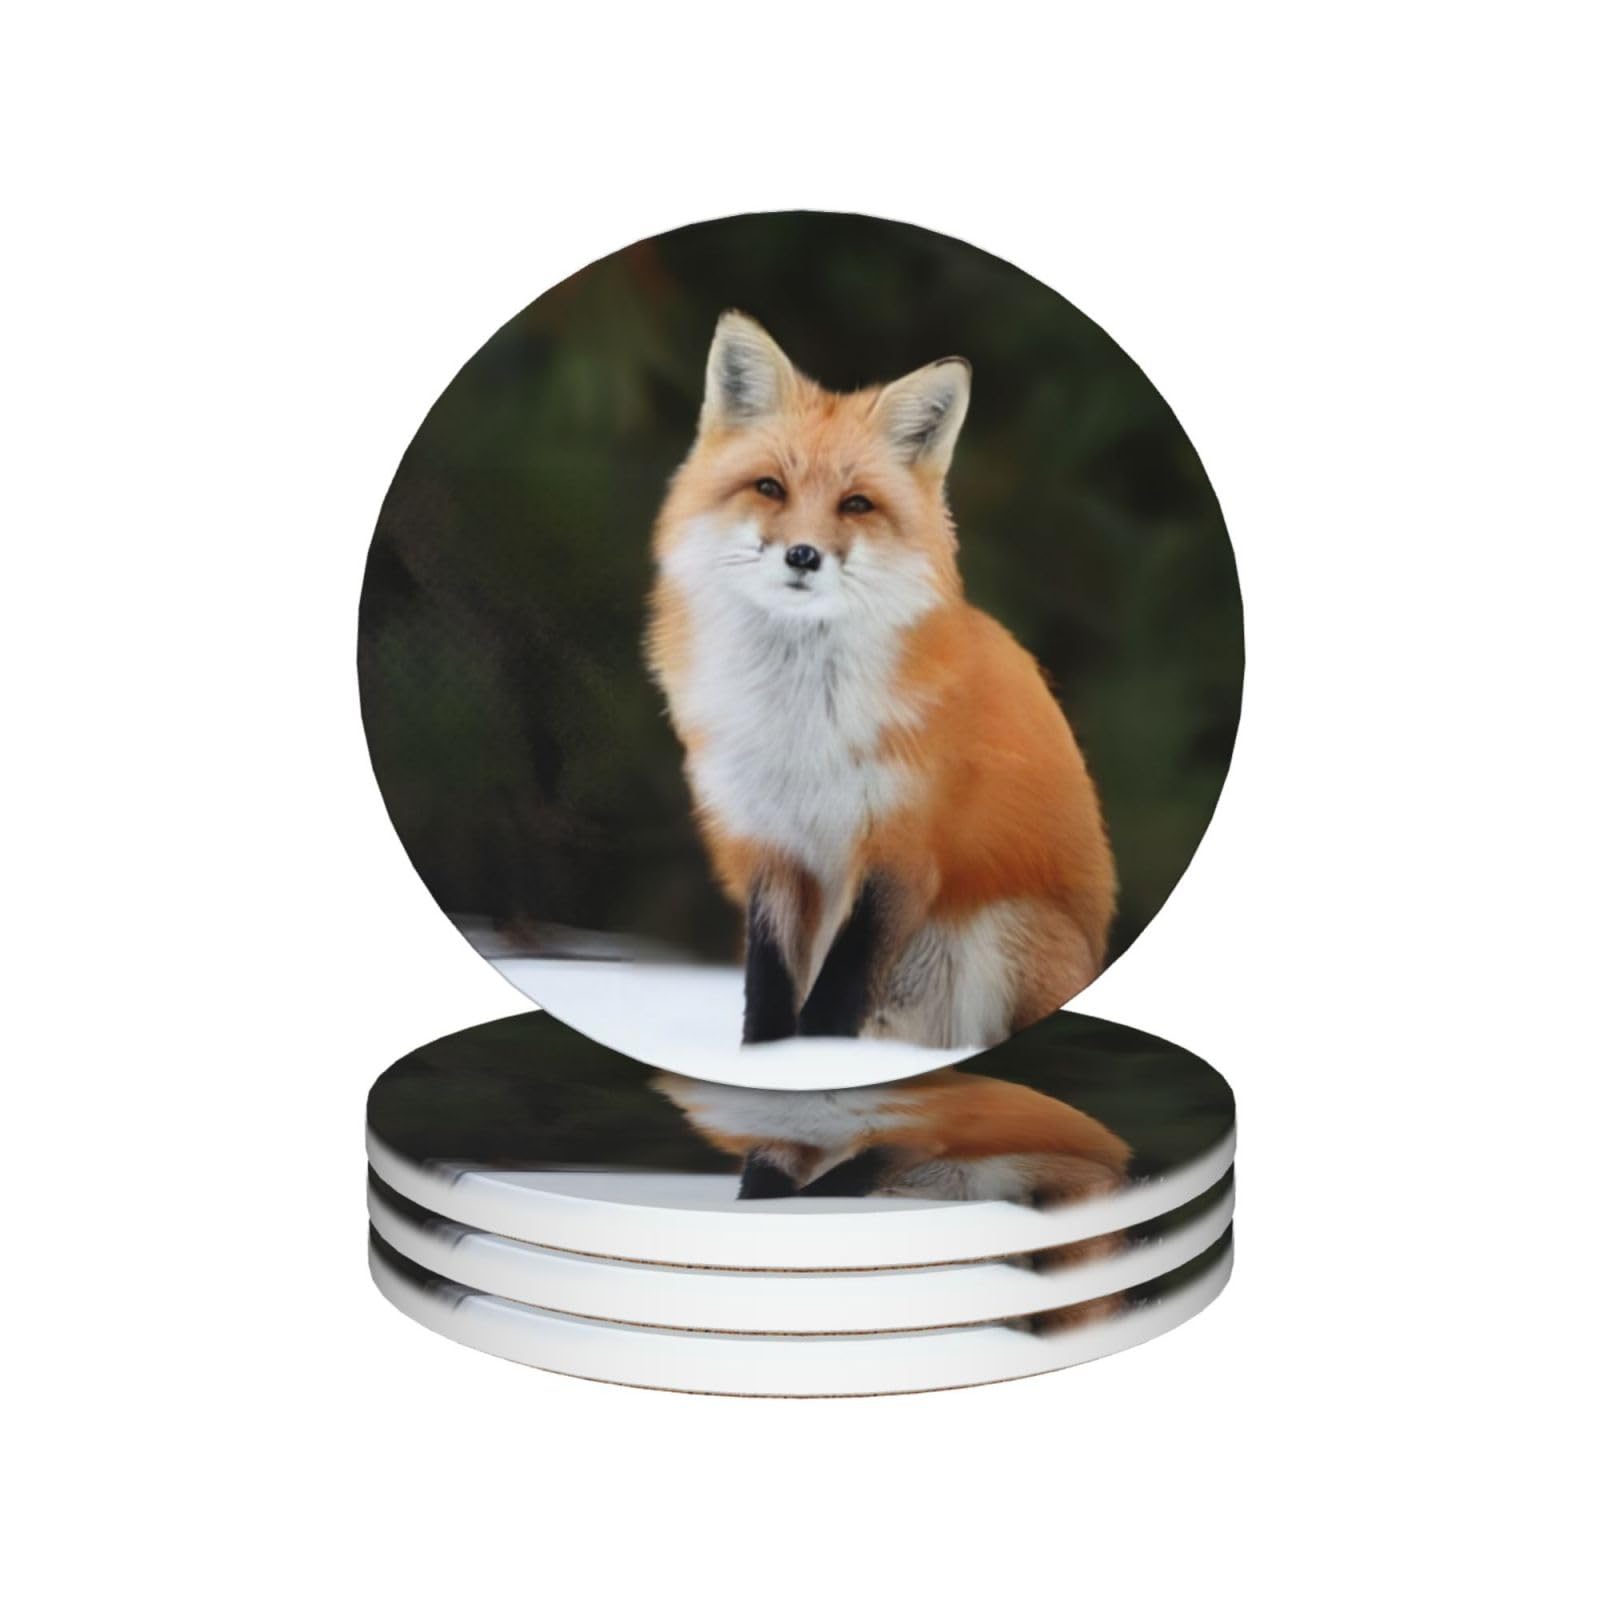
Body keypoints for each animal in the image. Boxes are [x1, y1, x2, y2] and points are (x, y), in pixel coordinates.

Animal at [646, 311, 1116, 1049]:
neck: (800, 726)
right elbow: (769, 989)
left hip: (1004, 930)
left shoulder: (903, 847)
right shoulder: (770, 845)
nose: (802, 555)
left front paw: (816, 1067)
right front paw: (765, 1065)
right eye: (769, 488)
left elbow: (839, 990)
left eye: (856, 504)